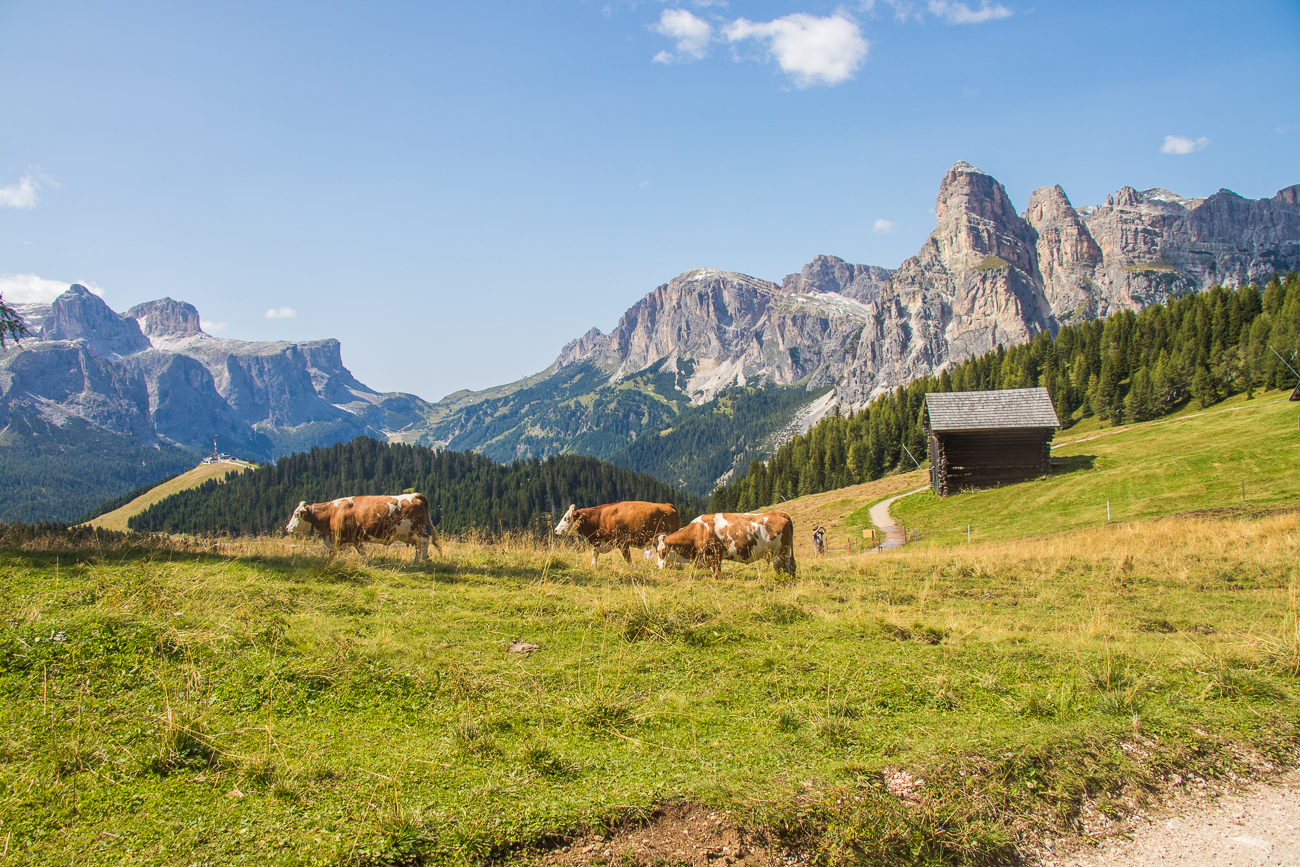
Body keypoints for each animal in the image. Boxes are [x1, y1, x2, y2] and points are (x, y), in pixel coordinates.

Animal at [284, 493, 441, 561]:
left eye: (297, 514)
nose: (287, 527)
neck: (333, 512)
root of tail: (415, 495)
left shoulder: (347, 537)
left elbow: (340, 553)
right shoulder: (351, 539)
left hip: (416, 530)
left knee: (425, 540)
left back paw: (424, 558)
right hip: (408, 534)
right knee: (418, 545)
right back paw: (416, 561)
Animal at [655, 511, 796, 578]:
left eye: (660, 552)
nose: (658, 566)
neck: (698, 531)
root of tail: (779, 513)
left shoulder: (714, 554)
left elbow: (717, 573)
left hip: (779, 552)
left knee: (780, 568)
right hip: (786, 552)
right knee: (791, 567)